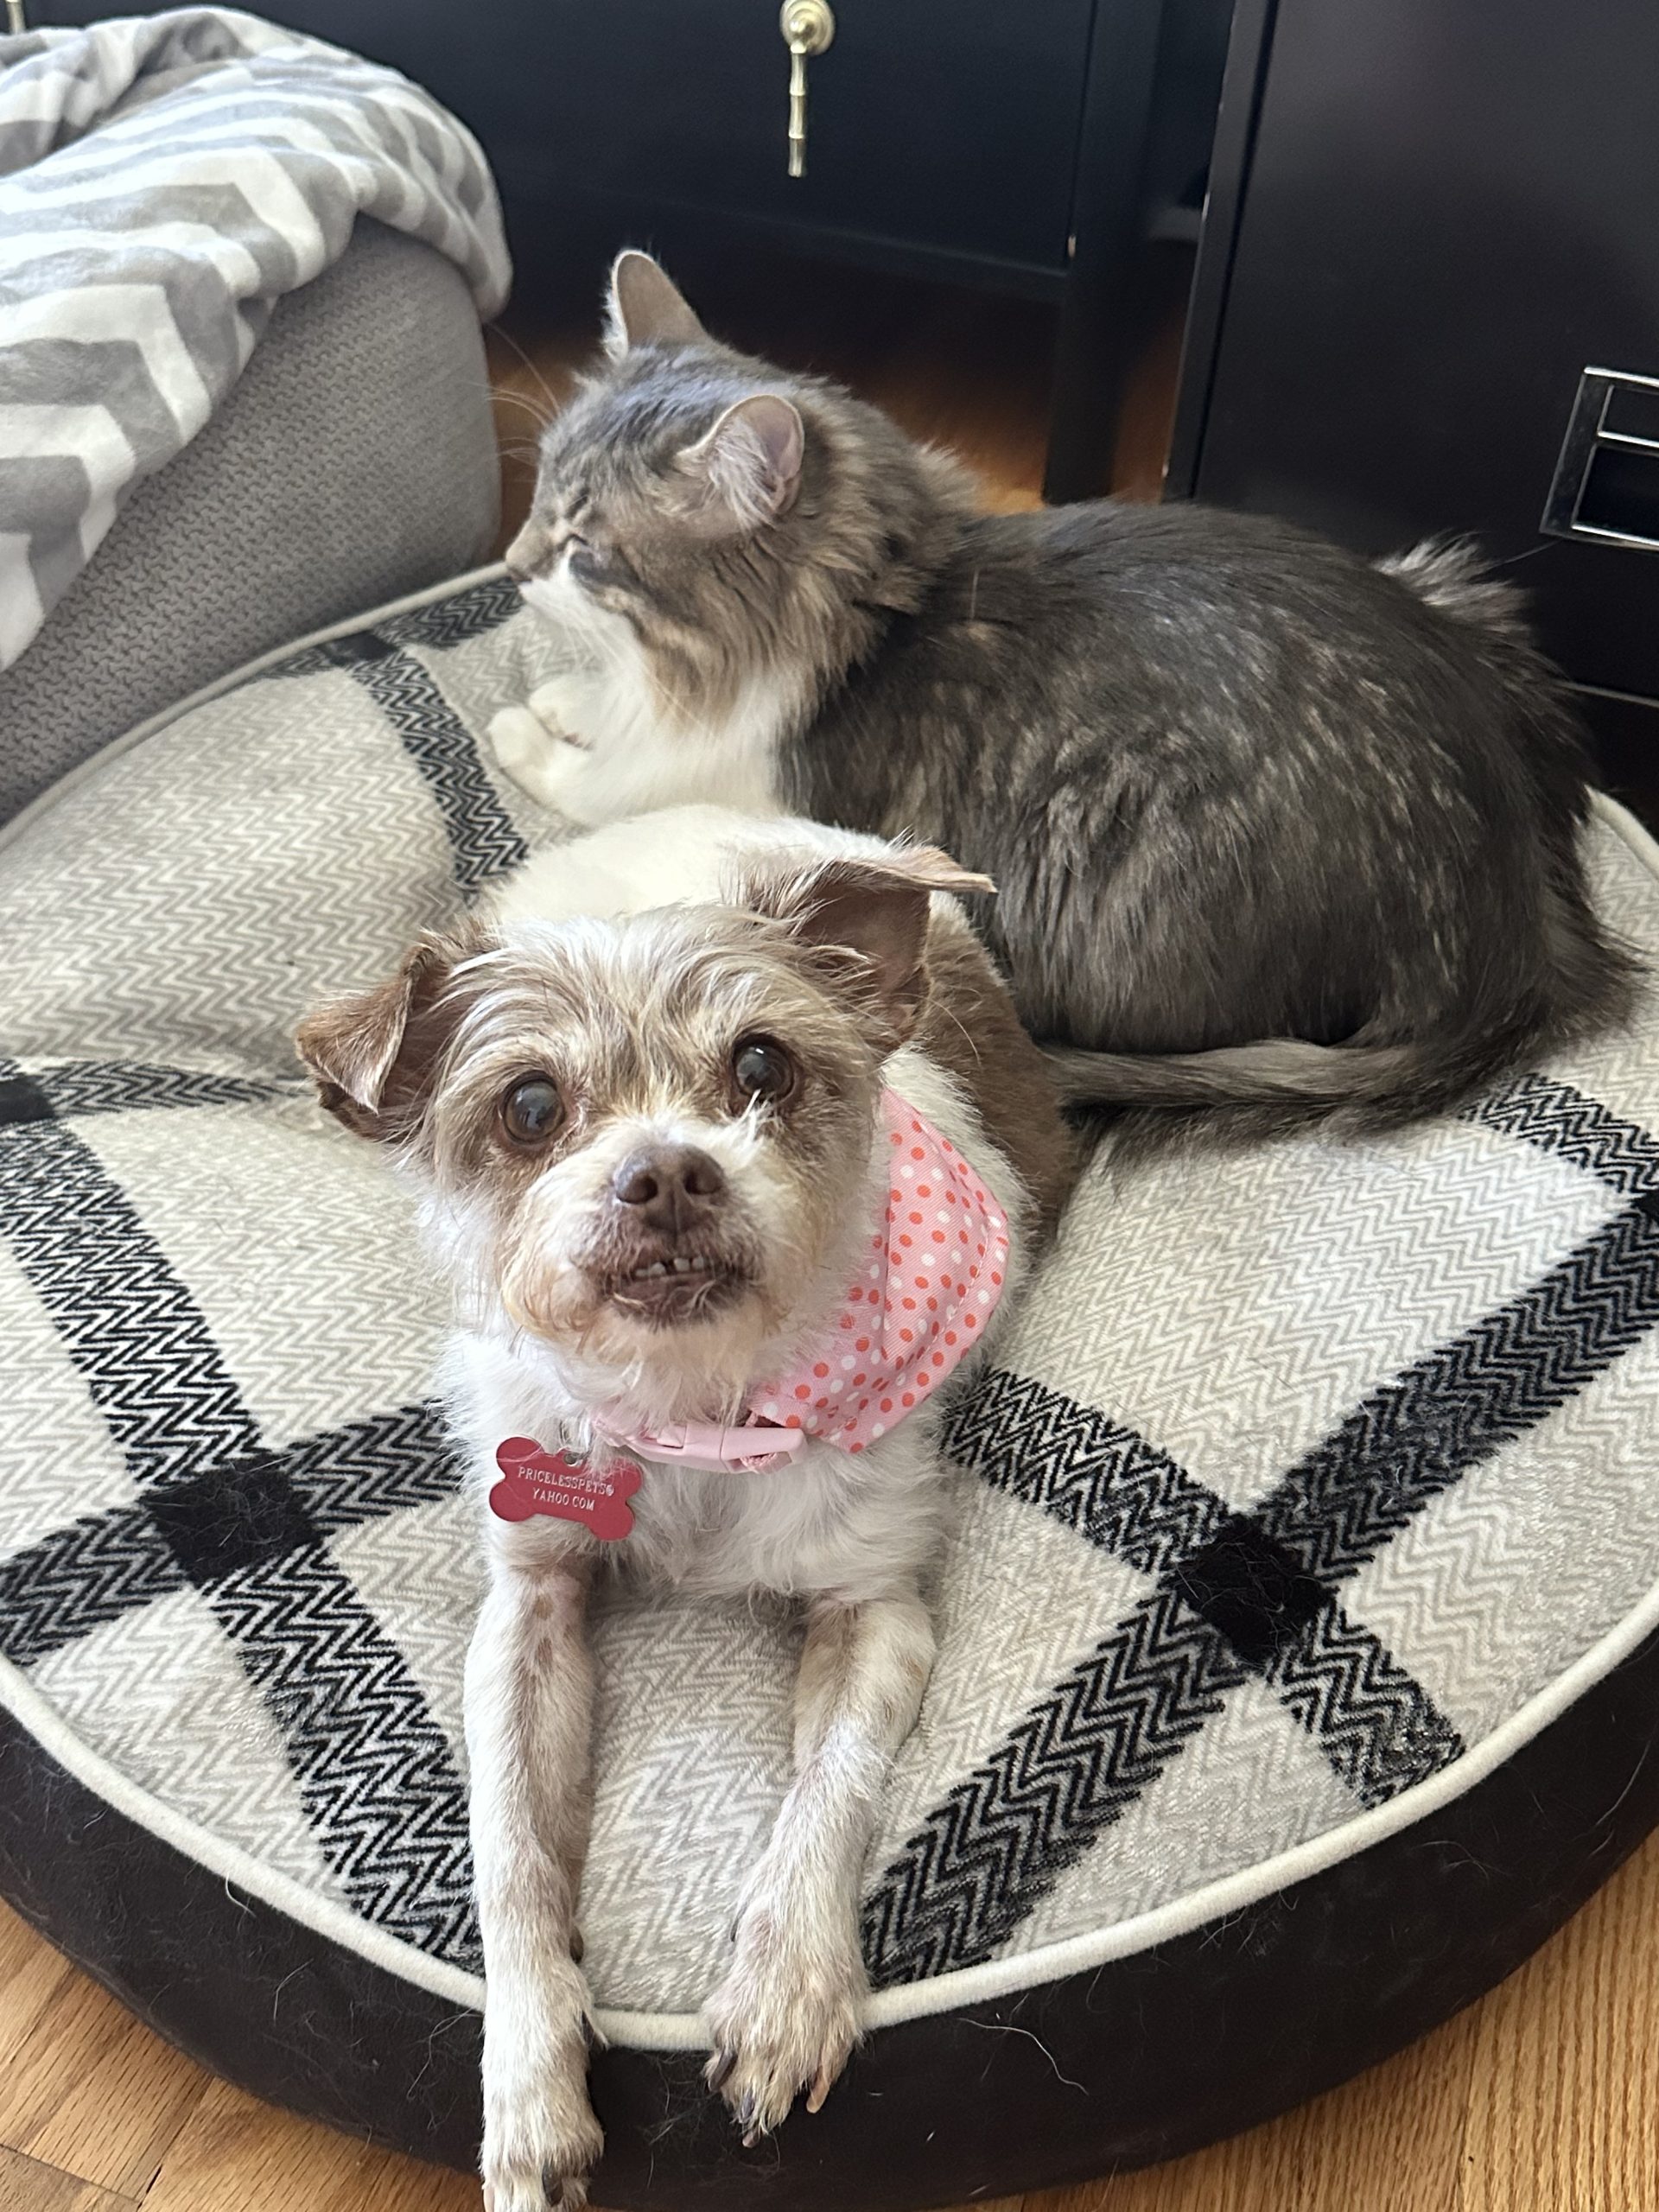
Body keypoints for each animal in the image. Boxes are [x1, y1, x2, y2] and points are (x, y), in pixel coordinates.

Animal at [296, 809, 1079, 2212]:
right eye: (531, 1106)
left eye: (762, 1062)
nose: (667, 1173)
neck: (695, 1410)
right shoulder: (528, 1610)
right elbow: (511, 1858)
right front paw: (529, 2091)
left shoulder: (874, 1604)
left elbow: (830, 1787)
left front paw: (785, 1990)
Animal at [491, 256, 1637, 1150]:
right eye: (538, 496)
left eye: (586, 551)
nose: (509, 566)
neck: (871, 612)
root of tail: (1510, 935)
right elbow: (595, 707)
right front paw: (561, 695)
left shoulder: (716, 780)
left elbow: (592, 774)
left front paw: (525, 728)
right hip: (1458, 586)